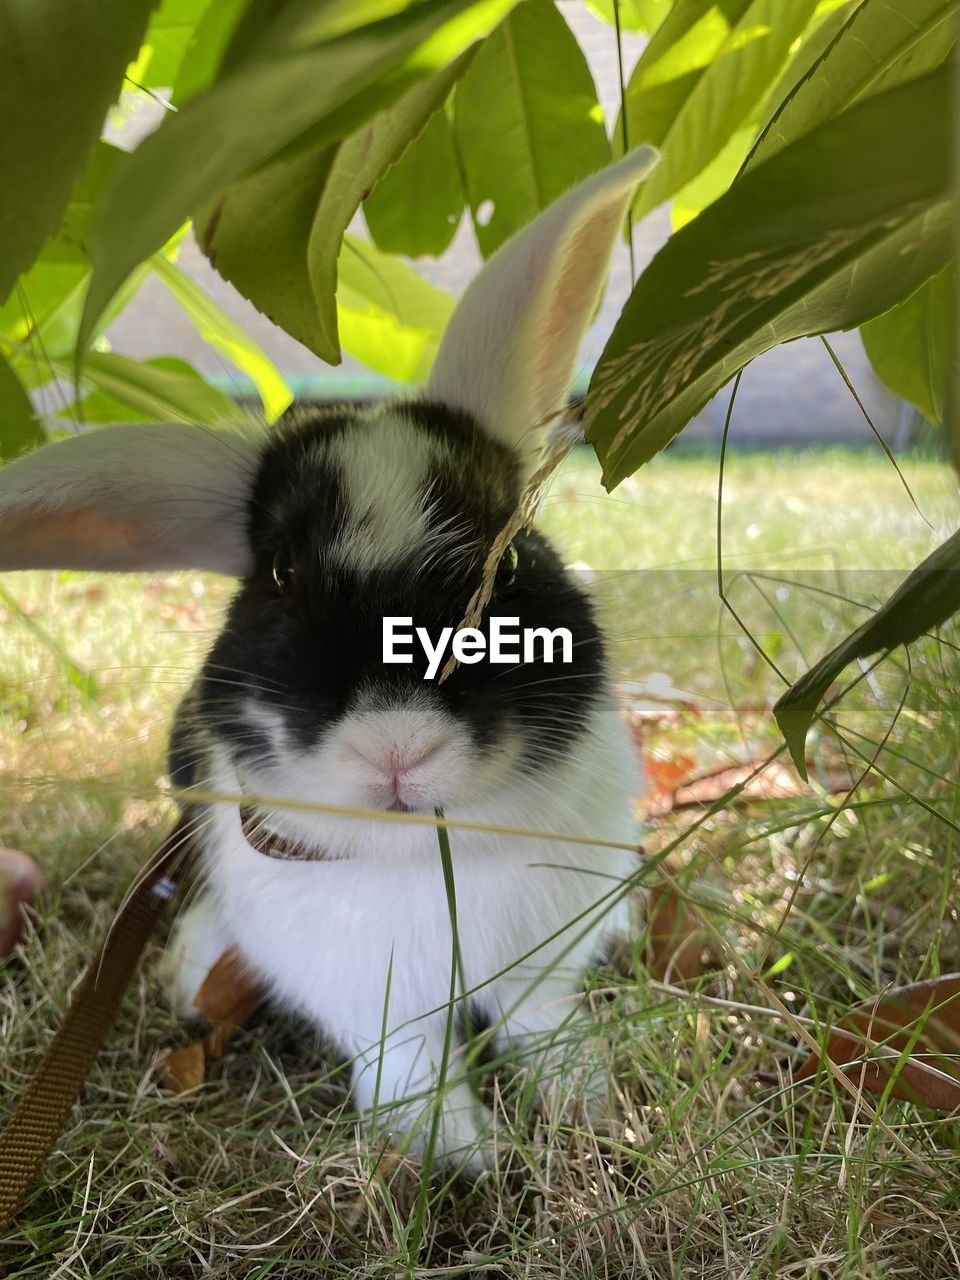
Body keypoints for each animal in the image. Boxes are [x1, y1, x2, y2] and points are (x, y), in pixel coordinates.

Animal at [0, 147, 655, 1172]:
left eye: (509, 561)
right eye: (279, 578)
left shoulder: (545, 950)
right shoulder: (362, 988)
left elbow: (543, 1023)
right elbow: (408, 1059)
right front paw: (452, 1155)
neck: (421, 847)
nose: (397, 749)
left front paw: (589, 1105)